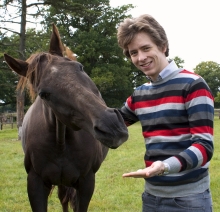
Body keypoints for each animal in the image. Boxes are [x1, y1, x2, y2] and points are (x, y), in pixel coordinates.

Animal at [3, 24, 128, 211]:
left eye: (80, 67)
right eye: (43, 94)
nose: (112, 125)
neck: (61, 144)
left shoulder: (86, 183)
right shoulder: (35, 183)